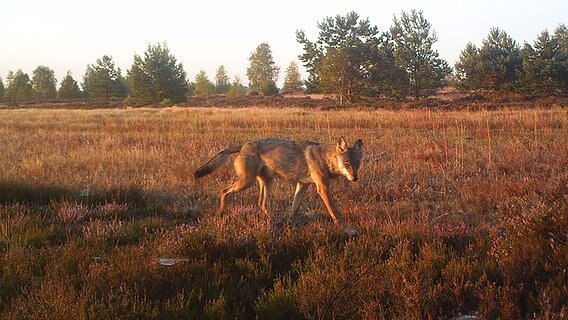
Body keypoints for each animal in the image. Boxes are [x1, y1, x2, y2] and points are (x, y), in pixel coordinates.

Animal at [194, 138, 364, 228]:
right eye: (347, 163)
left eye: (357, 163)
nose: (355, 178)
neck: (325, 159)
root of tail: (244, 145)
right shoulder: (322, 188)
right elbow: (334, 210)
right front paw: (343, 226)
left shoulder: (302, 185)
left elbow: (295, 208)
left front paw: (290, 223)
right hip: (246, 182)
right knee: (223, 191)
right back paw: (221, 213)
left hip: (267, 182)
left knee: (261, 203)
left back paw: (273, 221)